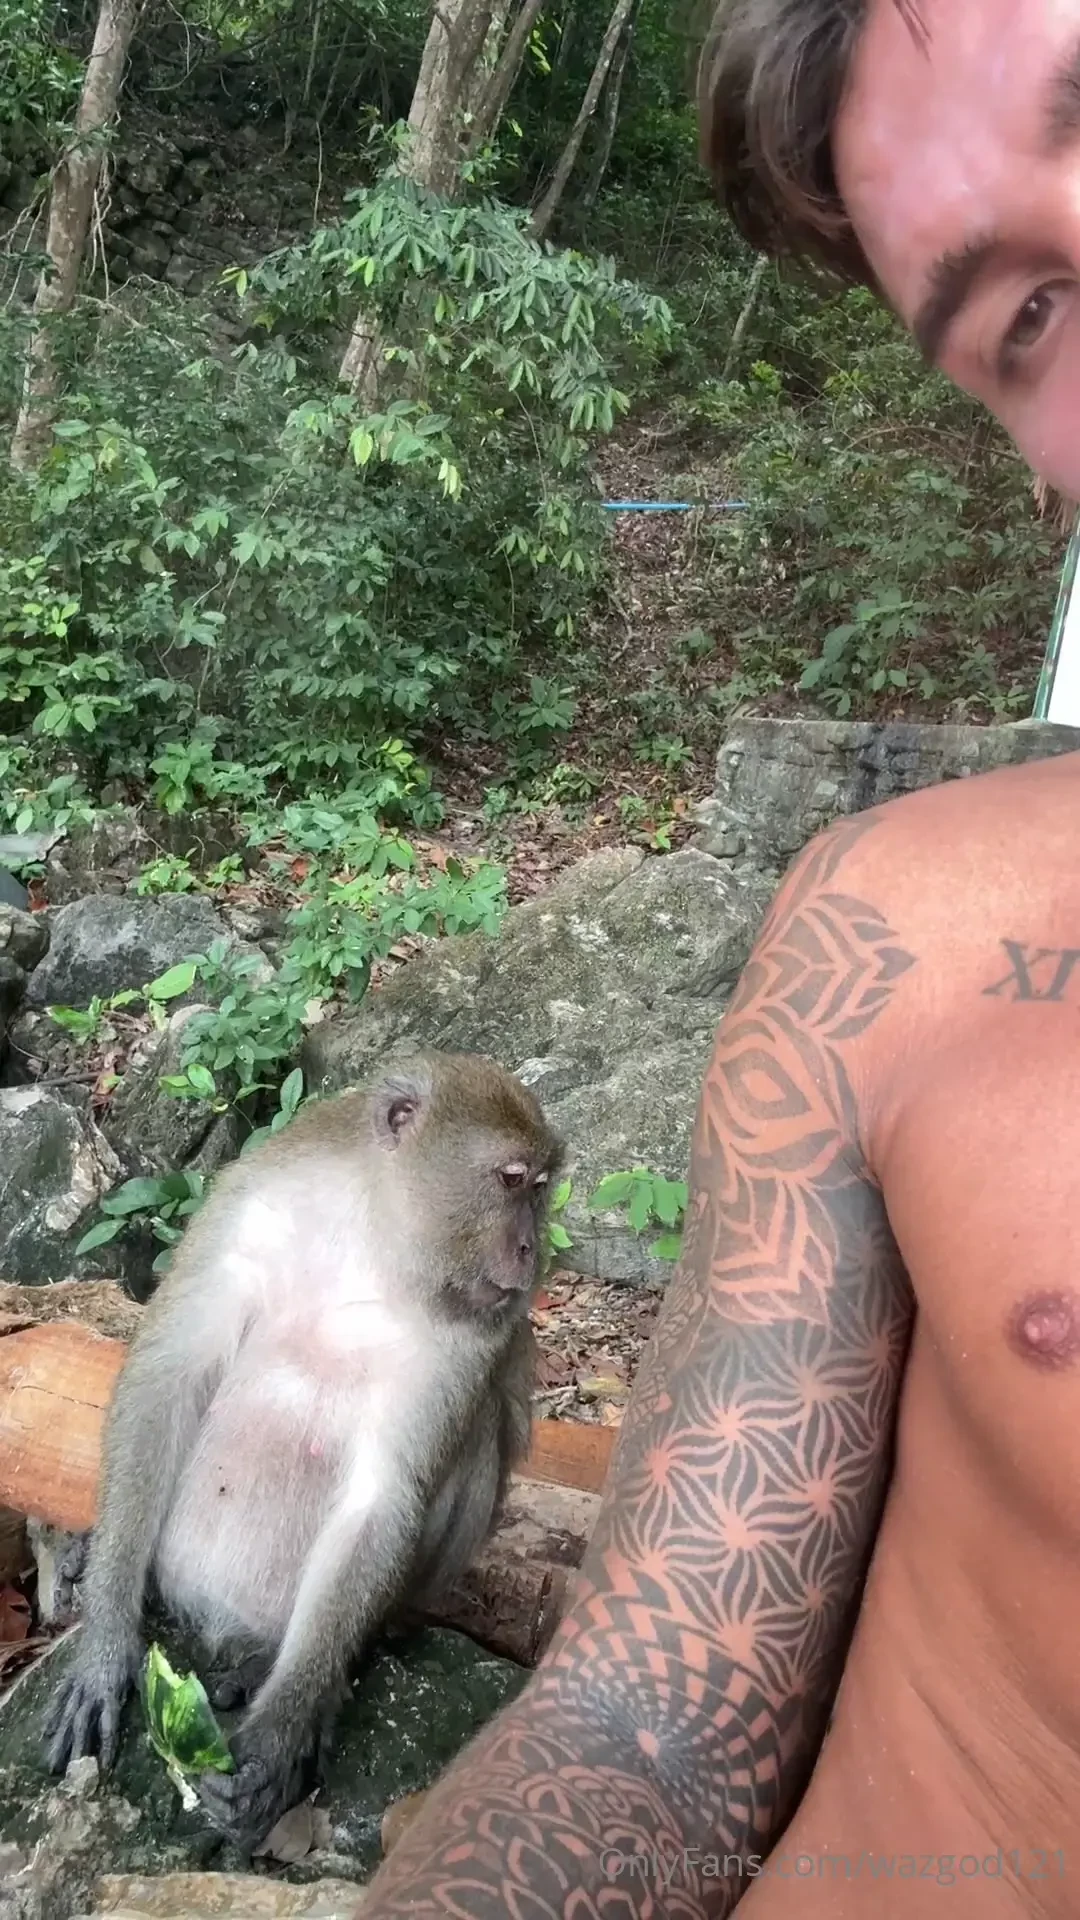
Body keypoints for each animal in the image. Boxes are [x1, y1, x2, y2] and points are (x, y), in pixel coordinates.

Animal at [42, 1050, 562, 1849]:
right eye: (510, 1181)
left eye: (540, 1188)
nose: (531, 1251)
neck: (372, 1236)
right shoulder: (244, 1207)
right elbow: (166, 1381)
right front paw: (105, 1634)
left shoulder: (474, 1329)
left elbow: (383, 1492)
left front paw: (279, 1735)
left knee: (477, 1441)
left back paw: (293, 1664)